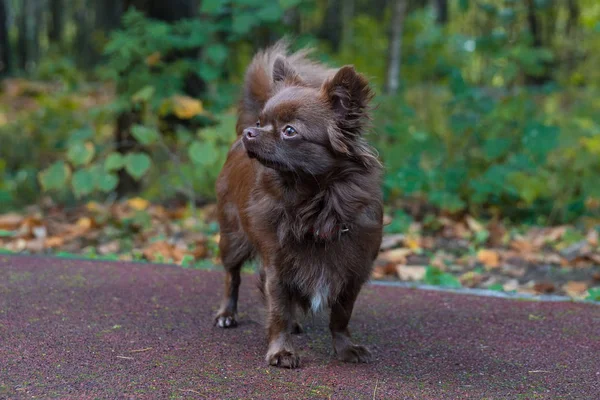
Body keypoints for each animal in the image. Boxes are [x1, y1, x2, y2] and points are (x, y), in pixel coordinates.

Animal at [216, 41, 382, 368]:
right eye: (260, 123)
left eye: (289, 131)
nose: (251, 132)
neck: (313, 204)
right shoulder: (277, 266)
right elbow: (278, 310)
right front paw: (281, 351)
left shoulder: (352, 272)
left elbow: (341, 316)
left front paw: (345, 348)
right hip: (233, 238)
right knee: (232, 276)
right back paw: (227, 314)